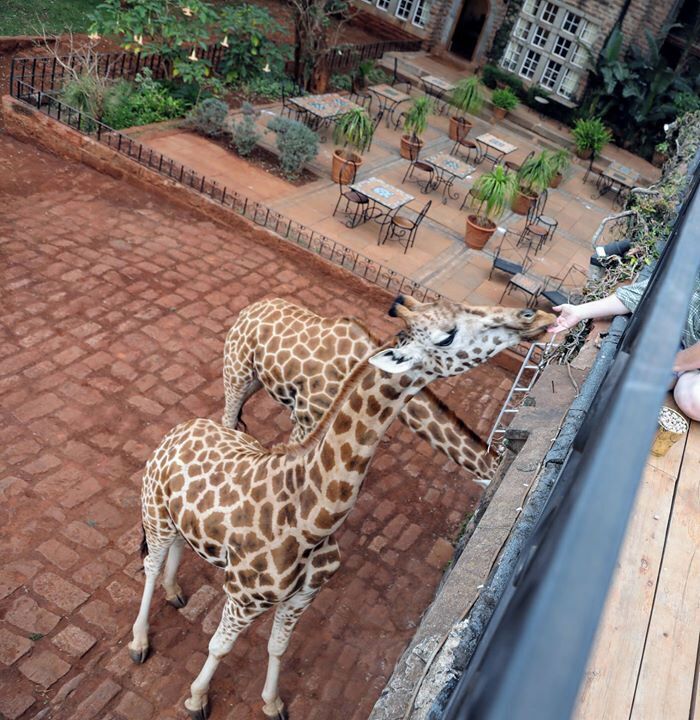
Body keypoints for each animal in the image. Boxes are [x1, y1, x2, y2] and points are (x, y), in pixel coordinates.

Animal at [222, 297, 499, 487]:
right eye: (451, 336)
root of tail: (251, 308)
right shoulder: (305, 418)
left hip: (257, 379)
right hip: (237, 370)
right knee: (228, 416)